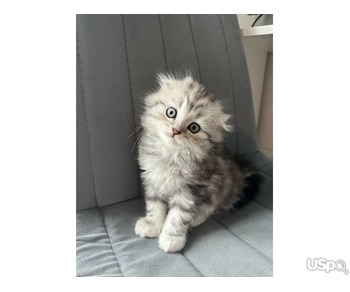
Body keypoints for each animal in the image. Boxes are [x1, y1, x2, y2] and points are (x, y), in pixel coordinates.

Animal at [134, 73, 258, 253]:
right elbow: (154, 206)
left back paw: (196, 217)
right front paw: (152, 225)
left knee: (213, 204)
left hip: (221, 184)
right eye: (171, 112)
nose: (175, 130)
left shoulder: (190, 190)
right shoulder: (153, 180)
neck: (171, 157)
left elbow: (178, 216)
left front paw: (172, 237)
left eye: (194, 128)